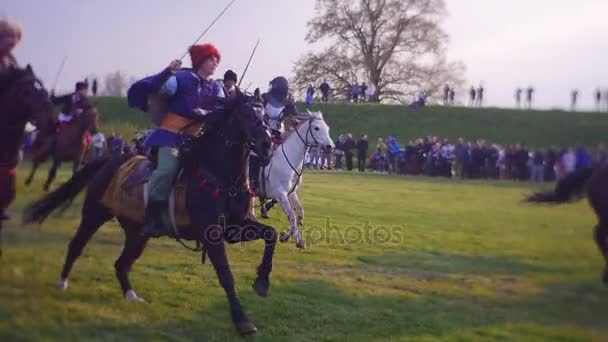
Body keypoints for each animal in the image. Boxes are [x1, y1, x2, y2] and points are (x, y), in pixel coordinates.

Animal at [25, 95, 276, 336]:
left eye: (265, 115)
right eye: (246, 114)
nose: (267, 144)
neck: (220, 176)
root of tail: (111, 159)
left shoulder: (236, 228)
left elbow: (270, 234)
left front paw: (262, 282)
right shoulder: (210, 234)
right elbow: (226, 275)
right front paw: (242, 321)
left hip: (137, 233)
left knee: (122, 263)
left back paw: (131, 295)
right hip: (94, 215)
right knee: (77, 245)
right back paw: (62, 282)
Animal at [251, 112, 332, 248]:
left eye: (327, 128)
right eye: (316, 128)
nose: (330, 146)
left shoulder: (291, 193)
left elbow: (300, 213)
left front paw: (285, 237)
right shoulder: (281, 195)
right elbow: (292, 216)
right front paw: (298, 241)